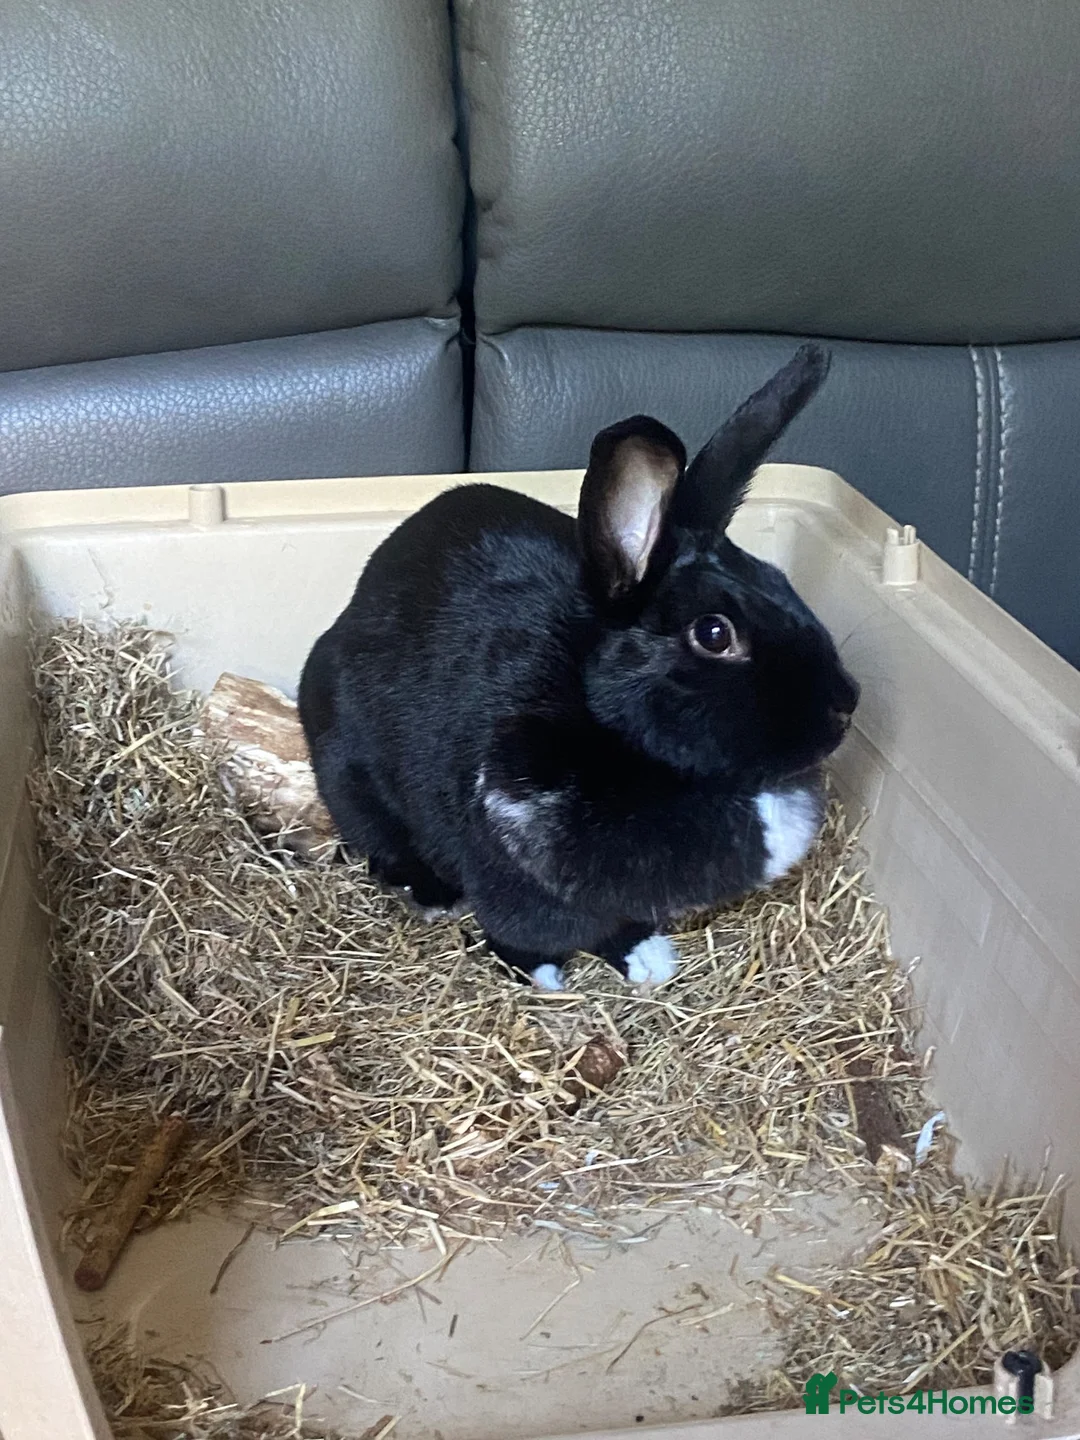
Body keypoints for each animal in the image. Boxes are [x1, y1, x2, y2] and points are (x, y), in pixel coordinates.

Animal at [298, 343, 859, 992]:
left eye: (779, 579)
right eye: (714, 634)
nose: (846, 704)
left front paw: (645, 957)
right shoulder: (508, 865)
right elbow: (525, 928)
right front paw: (540, 973)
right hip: (349, 774)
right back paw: (434, 893)